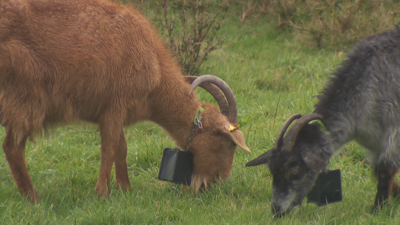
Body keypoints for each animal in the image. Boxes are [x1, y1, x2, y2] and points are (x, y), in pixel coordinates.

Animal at [0, 0, 250, 202]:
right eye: (229, 144)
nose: (218, 183)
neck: (153, 63)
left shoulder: (114, 112)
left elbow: (121, 148)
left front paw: (126, 189)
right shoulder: (114, 106)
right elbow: (109, 147)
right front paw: (103, 193)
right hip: (24, 99)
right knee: (12, 147)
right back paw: (33, 198)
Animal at [245, 27, 400, 216]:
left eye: (294, 167)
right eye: (271, 168)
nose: (277, 210)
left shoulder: (394, 131)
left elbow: (385, 170)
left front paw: (377, 209)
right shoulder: (373, 143)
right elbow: (376, 170)